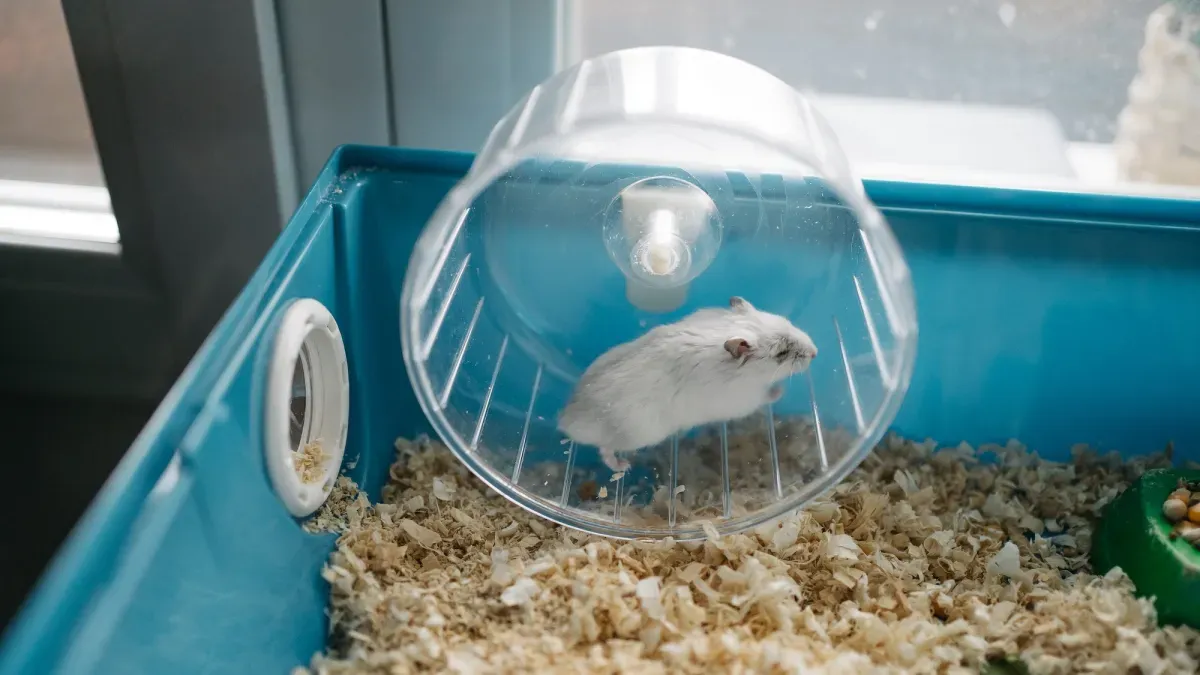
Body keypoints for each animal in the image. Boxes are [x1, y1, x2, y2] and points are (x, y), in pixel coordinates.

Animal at [557, 296, 818, 472]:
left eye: (786, 321)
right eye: (781, 353)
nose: (816, 352)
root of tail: (567, 419)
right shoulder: (743, 401)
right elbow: (765, 396)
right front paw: (779, 391)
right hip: (636, 434)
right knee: (604, 449)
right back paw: (622, 465)